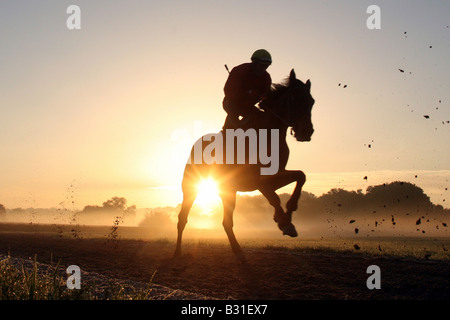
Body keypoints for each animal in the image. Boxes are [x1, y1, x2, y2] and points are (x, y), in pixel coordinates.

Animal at [174, 69, 314, 260]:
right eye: (294, 98)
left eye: (311, 101)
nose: (306, 131)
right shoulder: (258, 180)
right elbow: (274, 198)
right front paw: (283, 221)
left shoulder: (273, 176)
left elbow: (300, 176)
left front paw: (288, 217)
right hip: (191, 188)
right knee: (183, 218)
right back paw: (177, 252)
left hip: (228, 191)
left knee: (226, 222)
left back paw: (239, 251)